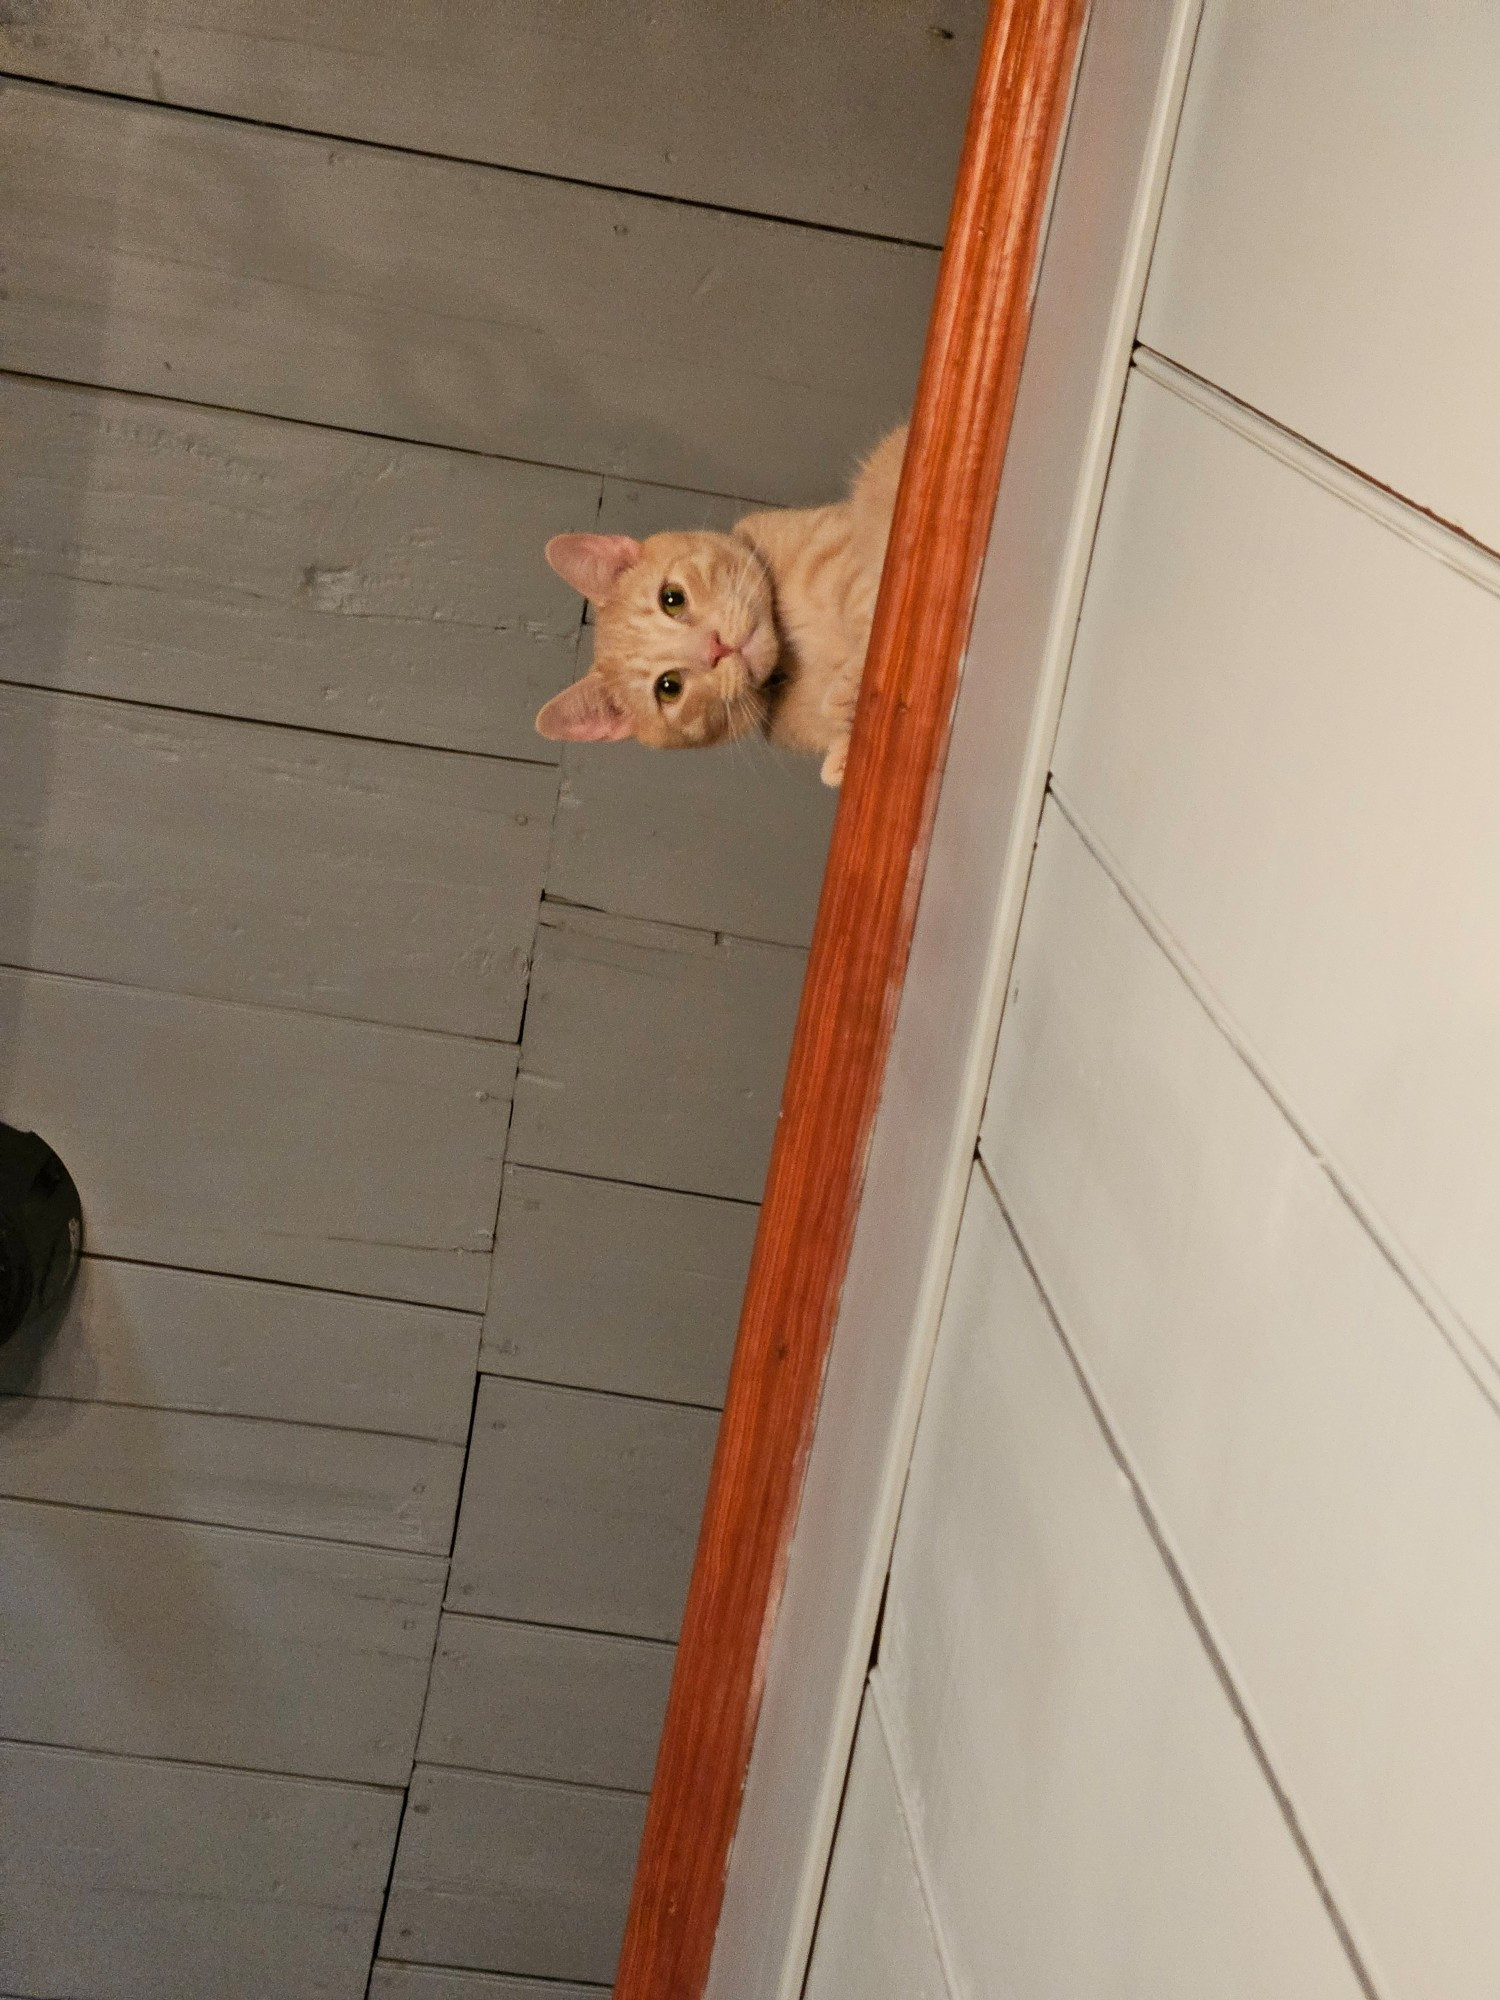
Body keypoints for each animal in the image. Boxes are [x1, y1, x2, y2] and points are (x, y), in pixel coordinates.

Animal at [536, 426, 904, 784]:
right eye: (669, 687)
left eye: (672, 599)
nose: (717, 648)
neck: (795, 656)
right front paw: (842, 751)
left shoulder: (848, 549)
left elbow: (869, 605)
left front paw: (855, 688)